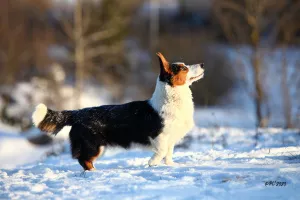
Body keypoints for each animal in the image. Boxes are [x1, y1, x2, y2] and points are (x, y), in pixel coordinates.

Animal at [32, 52, 204, 171]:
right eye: (184, 68)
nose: (202, 64)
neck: (172, 97)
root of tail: (78, 113)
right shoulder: (158, 135)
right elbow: (161, 151)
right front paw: (152, 163)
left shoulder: (171, 138)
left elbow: (168, 153)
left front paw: (170, 165)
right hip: (94, 146)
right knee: (84, 160)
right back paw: (94, 172)